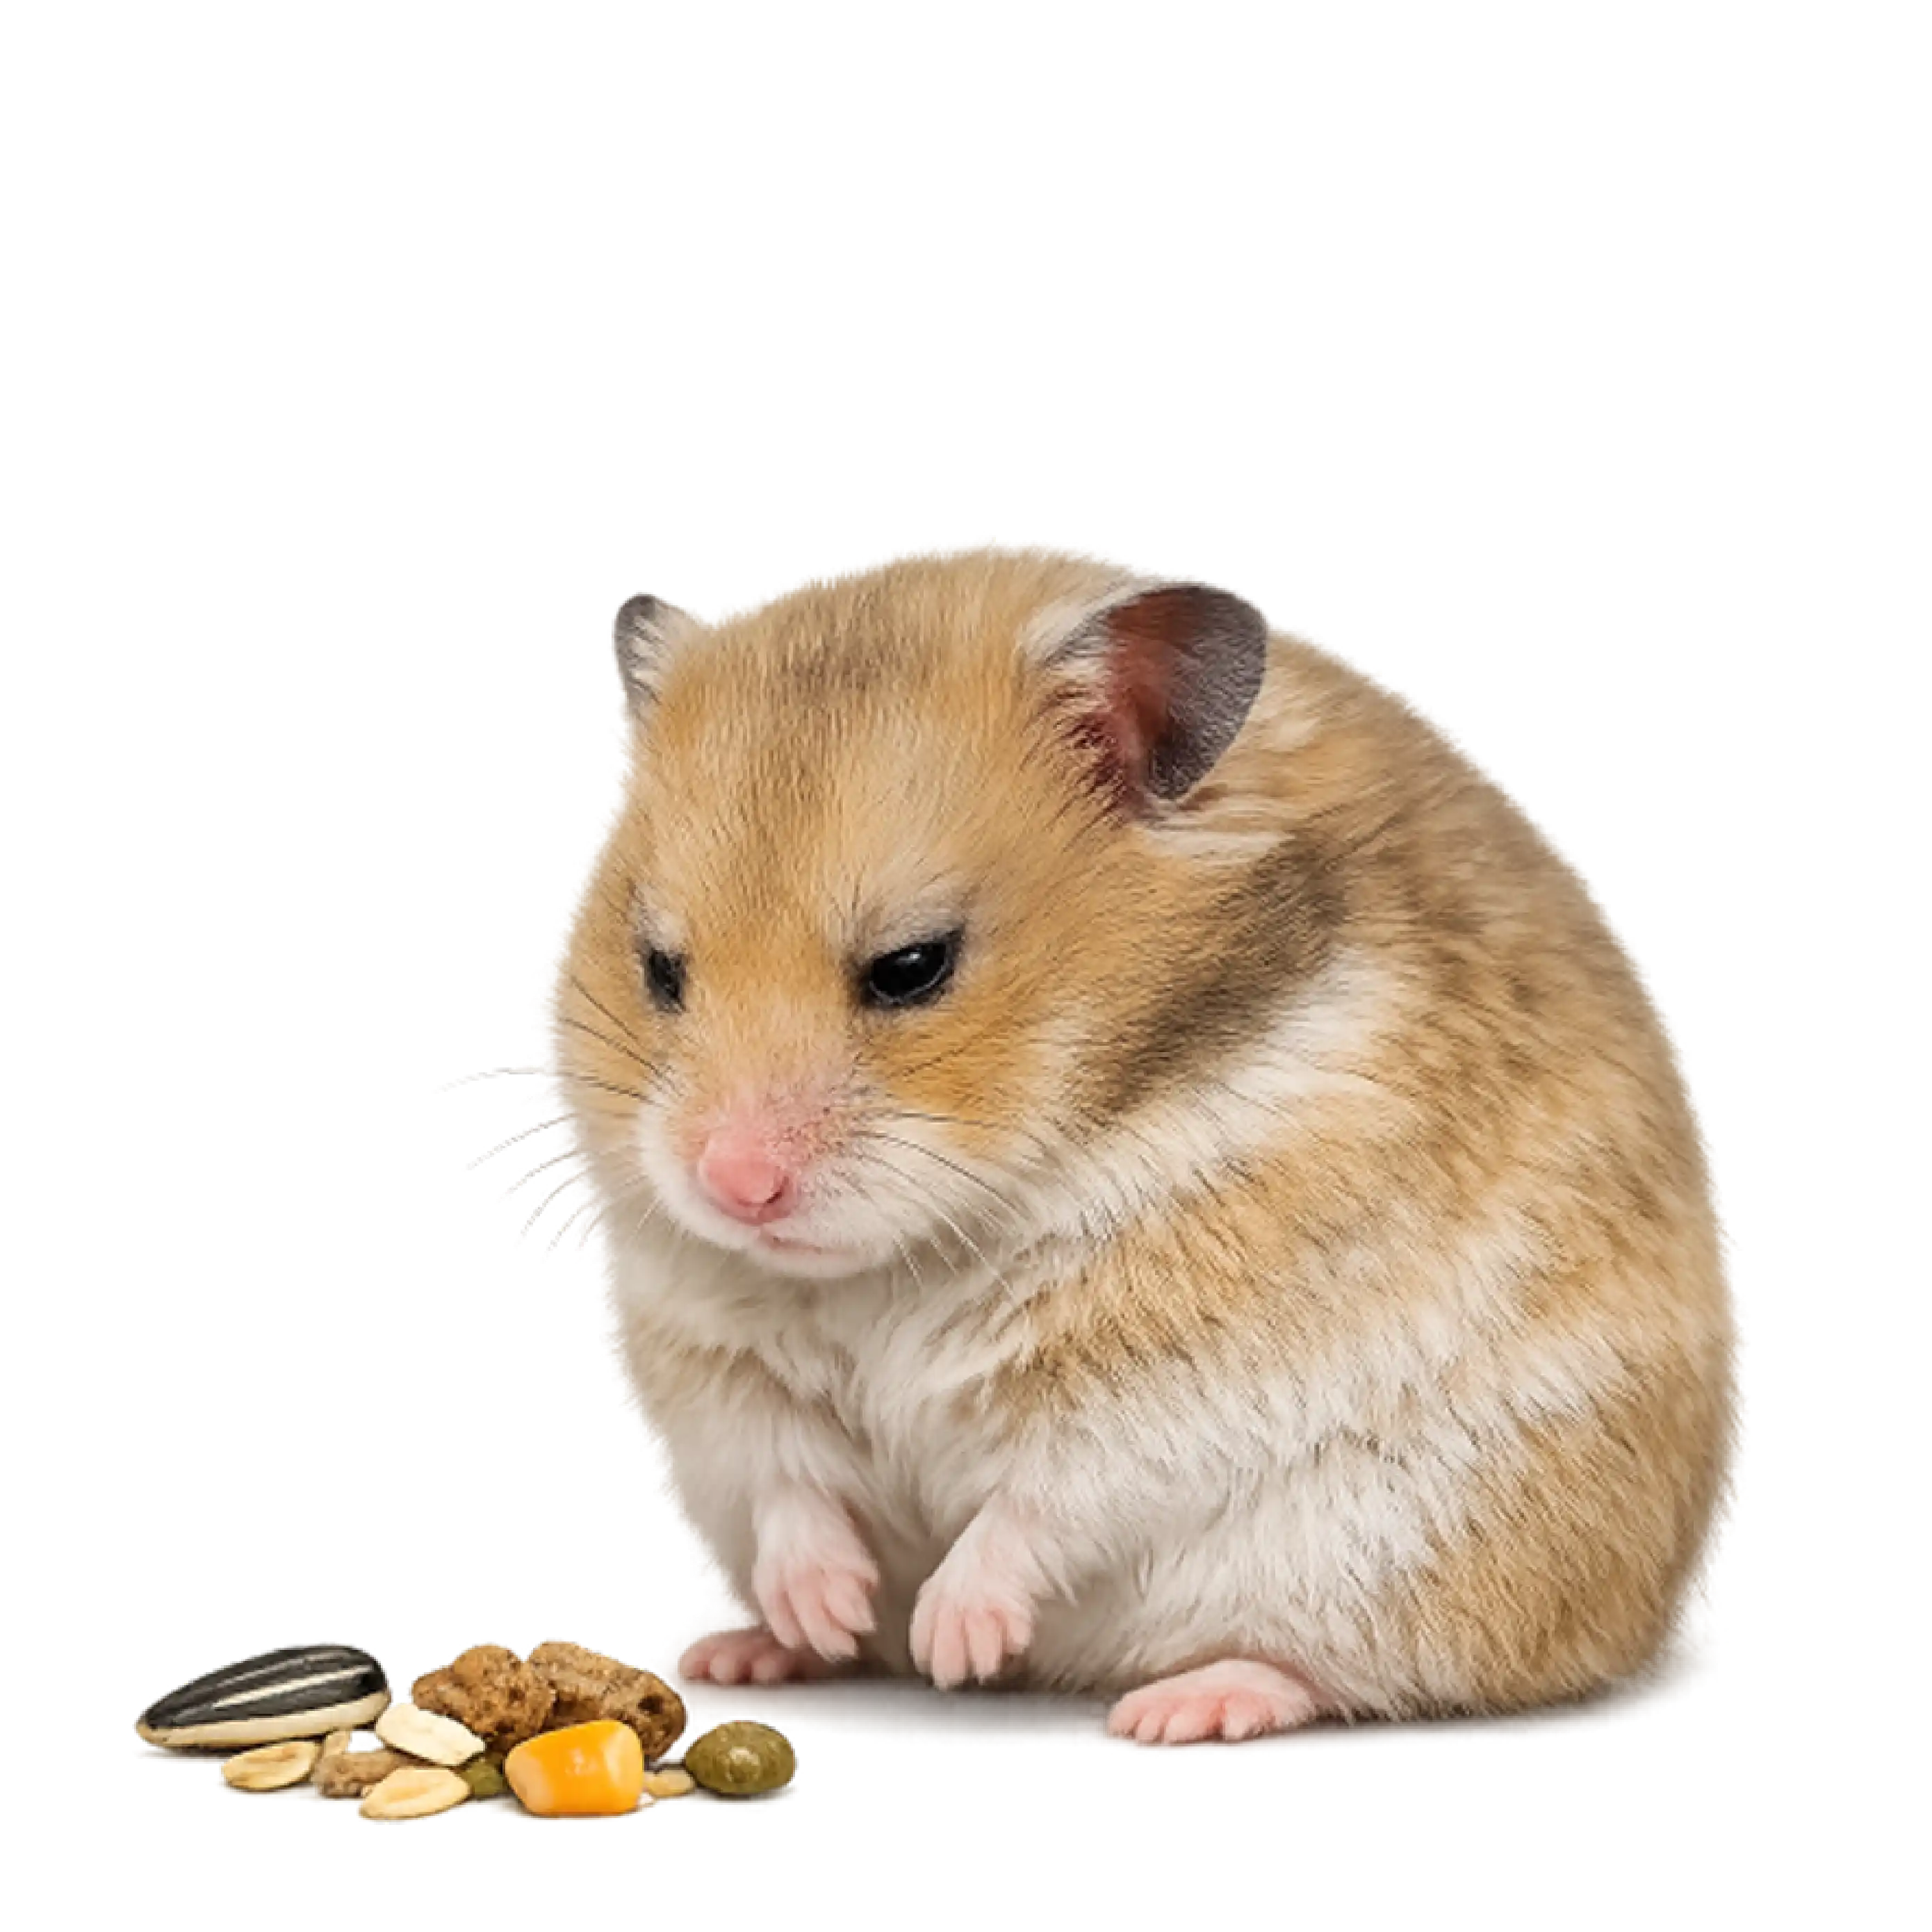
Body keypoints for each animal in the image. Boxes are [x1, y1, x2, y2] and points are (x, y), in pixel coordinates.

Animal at [535, 540, 1743, 1746]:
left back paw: (1181, 1705)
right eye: (659, 969)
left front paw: (952, 1644)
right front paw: (831, 1612)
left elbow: (1048, 1495)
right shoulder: (702, 1352)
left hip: (1426, 1544)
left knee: (1342, 1662)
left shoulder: (1172, 1369)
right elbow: (784, 1471)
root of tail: (1665, 1602)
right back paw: (745, 1650)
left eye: (914, 967)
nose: (734, 1187)